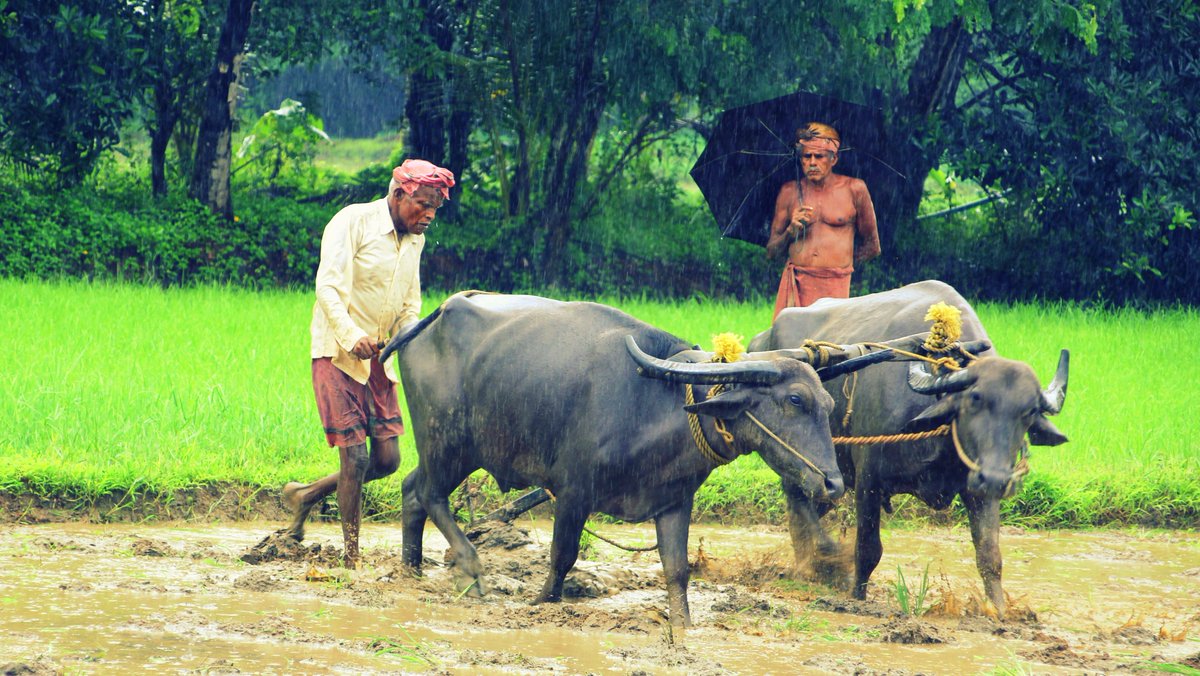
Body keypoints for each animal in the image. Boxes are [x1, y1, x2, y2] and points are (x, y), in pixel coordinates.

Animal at [379, 290, 921, 624]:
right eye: (793, 401)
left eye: (828, 404)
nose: (832, 484)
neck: (657, 403)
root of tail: (437, 314)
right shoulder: (572, 492)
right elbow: (561, 559)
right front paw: (540, 600)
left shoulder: (673, 501)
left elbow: (677, 572)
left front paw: (683, 629)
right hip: (448, 443)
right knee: (428, 493)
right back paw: (471, 569)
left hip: (451, 449)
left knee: (410, 491)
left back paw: (411, 568)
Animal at [748, 277, 1070, 614]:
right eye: (974, 399)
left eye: (1028, 411)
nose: (995, 478)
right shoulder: (869, 478)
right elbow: (868, 549)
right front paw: (856, 596)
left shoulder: (977, 487)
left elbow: (989, 555)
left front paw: (997, 611)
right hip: (797, 460)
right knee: (798, 501)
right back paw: (814, 563)